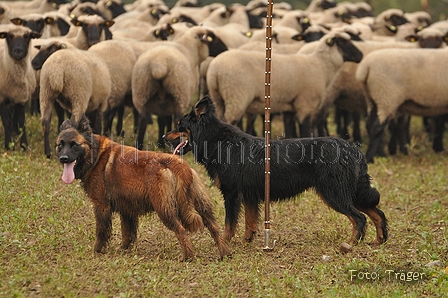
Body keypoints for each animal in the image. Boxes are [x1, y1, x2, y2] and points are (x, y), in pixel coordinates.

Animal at [55, 115, 231, 260]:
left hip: (165, 209)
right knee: (214, 228)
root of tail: (180, 166)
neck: (96, 155)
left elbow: (102, 232)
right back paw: (224, 253)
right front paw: (124, 249)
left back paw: (188, 256)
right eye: (60, 145)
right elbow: (128, 233)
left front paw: (97, 251)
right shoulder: (127, 209)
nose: (63, 158)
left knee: (181, 230)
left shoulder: (101, 206)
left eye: (74, 145)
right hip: (201, 206)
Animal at [164, 95, 388, 247]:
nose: (164, 137)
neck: (219, 141)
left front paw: (225, 242)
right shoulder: (249, 195)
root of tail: (352, 148)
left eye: (179, 124)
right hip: (352, 191)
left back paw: (350, 244)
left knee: (359, 218)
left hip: (335, 193)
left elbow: (229, 223)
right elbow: (250, 221)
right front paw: (247, 240)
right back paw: (378, 241)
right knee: (377, 213)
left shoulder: (232, 194)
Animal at [208, 30, 362, 137]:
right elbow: (306, 131)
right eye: (344, 42)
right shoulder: (305, 105)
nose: (360, 56)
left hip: (218, 97)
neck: (321, 66)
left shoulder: (290, 107)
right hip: (236, 96)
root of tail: (215, 70)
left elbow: (289, 131)